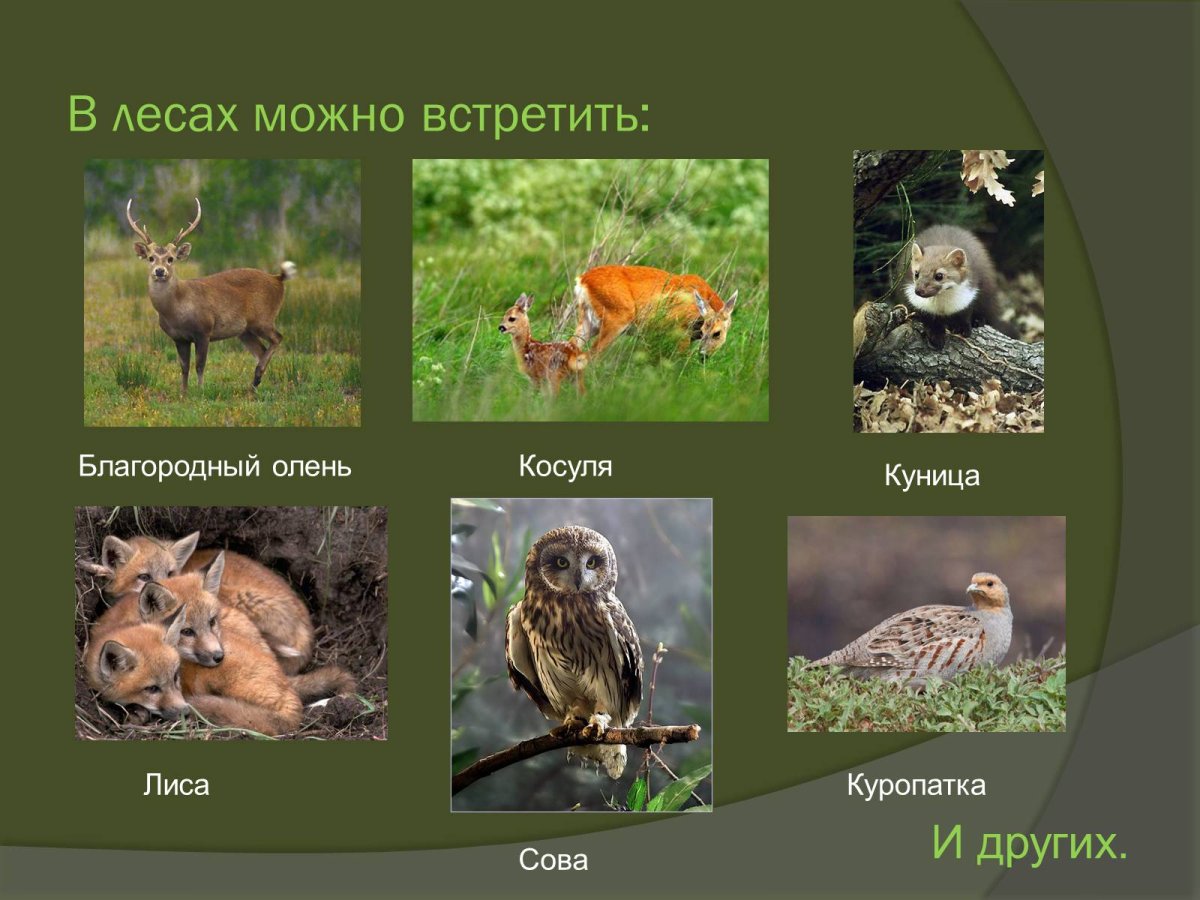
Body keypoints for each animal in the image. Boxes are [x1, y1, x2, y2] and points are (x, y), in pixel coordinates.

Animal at [125, 198, 296, 392]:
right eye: (151, 258)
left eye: (171, 259)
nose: (160, 271)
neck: (177, 309)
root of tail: (278, 279)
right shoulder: (179, 338)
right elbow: (184, 367)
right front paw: (183, 393)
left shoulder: (204, 330)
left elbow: (200, 365)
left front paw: (200, 390)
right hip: (245, 330)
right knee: (261, 350)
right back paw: (253, 385)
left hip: (263, 318)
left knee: (278, 338)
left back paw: (257, 376)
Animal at [572, 265, 739, 358]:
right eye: (706, 331)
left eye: (717, 333)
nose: (703, 355)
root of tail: (582, 280)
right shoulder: (680, 330)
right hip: (617, 316)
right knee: (590, 355)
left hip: (588, 321)